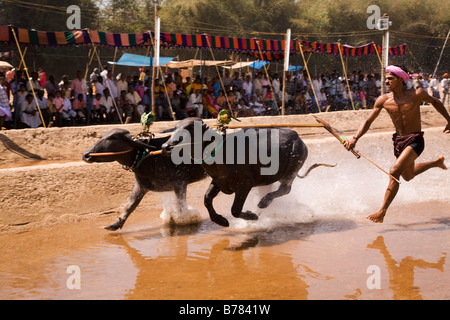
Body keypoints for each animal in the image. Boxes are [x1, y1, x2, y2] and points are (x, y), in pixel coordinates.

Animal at [163, 117, 334, 228]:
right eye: (175, 128)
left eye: (190, 128)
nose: (166, 146)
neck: (222, 153)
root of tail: (297, 137)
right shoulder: (218, 181)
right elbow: (206, 199)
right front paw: (221, 221)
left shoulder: (245, 185)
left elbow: (235, 210)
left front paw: (252, 216)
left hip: (292, 170)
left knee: (285, 189)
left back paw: (263, 203)